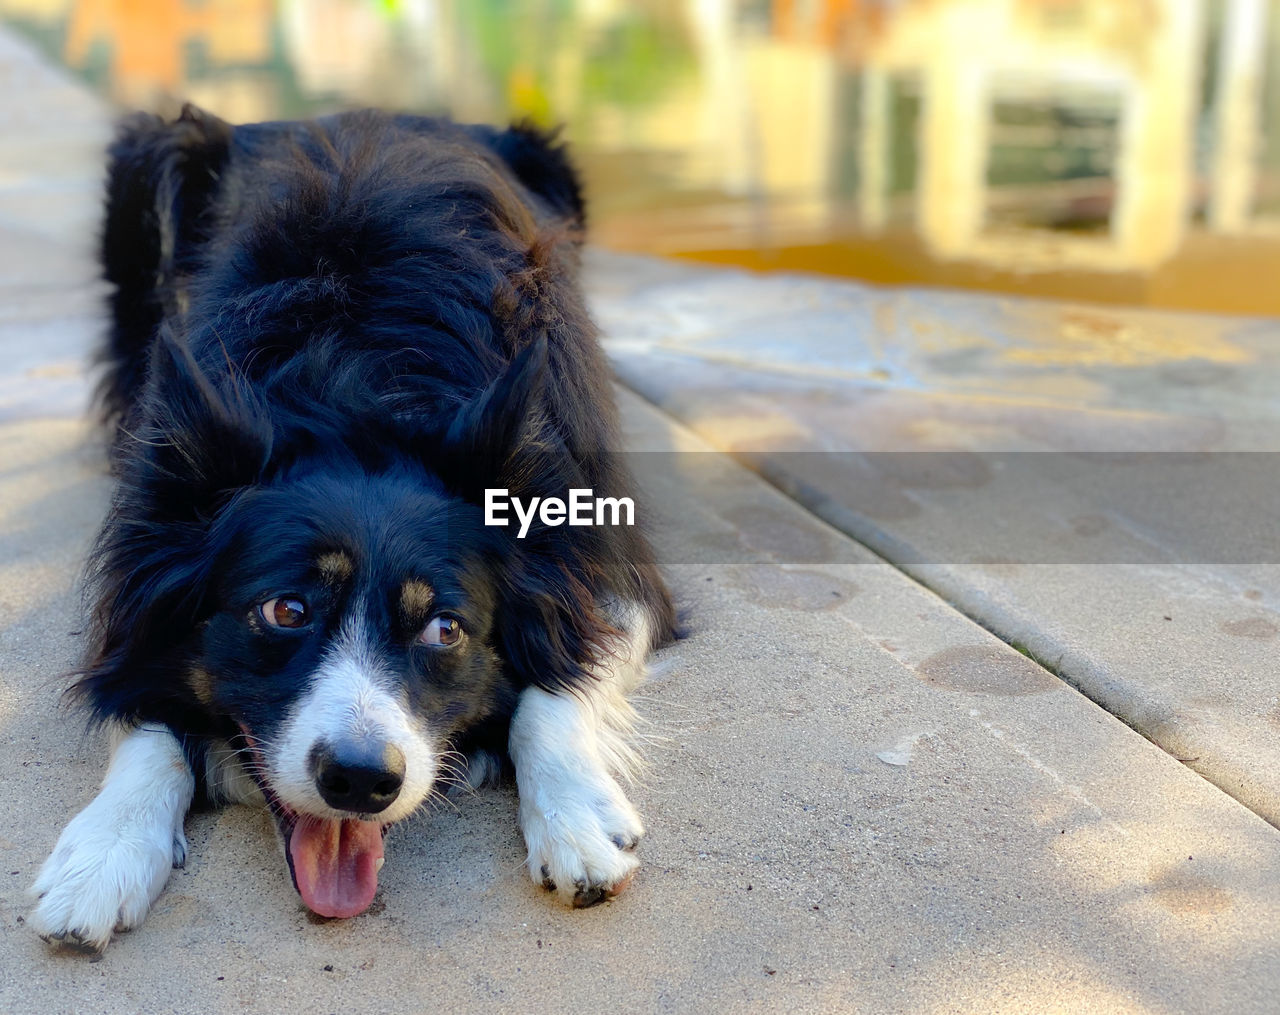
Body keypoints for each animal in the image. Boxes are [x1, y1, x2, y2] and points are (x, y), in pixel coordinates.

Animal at [30, 104, 675, 952]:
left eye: (445, 629)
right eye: (285, 610)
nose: (362, 780)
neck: (356, 385)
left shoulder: (601, 552)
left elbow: (563, 674)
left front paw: (578, 823)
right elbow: (142, 704)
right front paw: (100, 855)